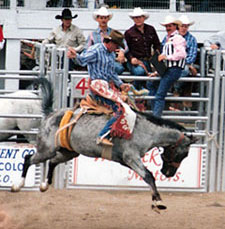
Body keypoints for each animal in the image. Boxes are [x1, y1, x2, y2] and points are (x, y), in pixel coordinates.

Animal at [11, 77, 196, 213]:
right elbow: (149, 175)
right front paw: (158, 201)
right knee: (28, 158)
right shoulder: (131, 157)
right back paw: (17, 186)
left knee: (53, 162)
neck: (146, 130)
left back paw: (43, 185)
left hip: (68, 152)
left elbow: (147, 175)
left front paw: (156, 199)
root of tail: (50, 114)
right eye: (184, 154)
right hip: (46, 149)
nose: (169, 173)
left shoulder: (127, 160)